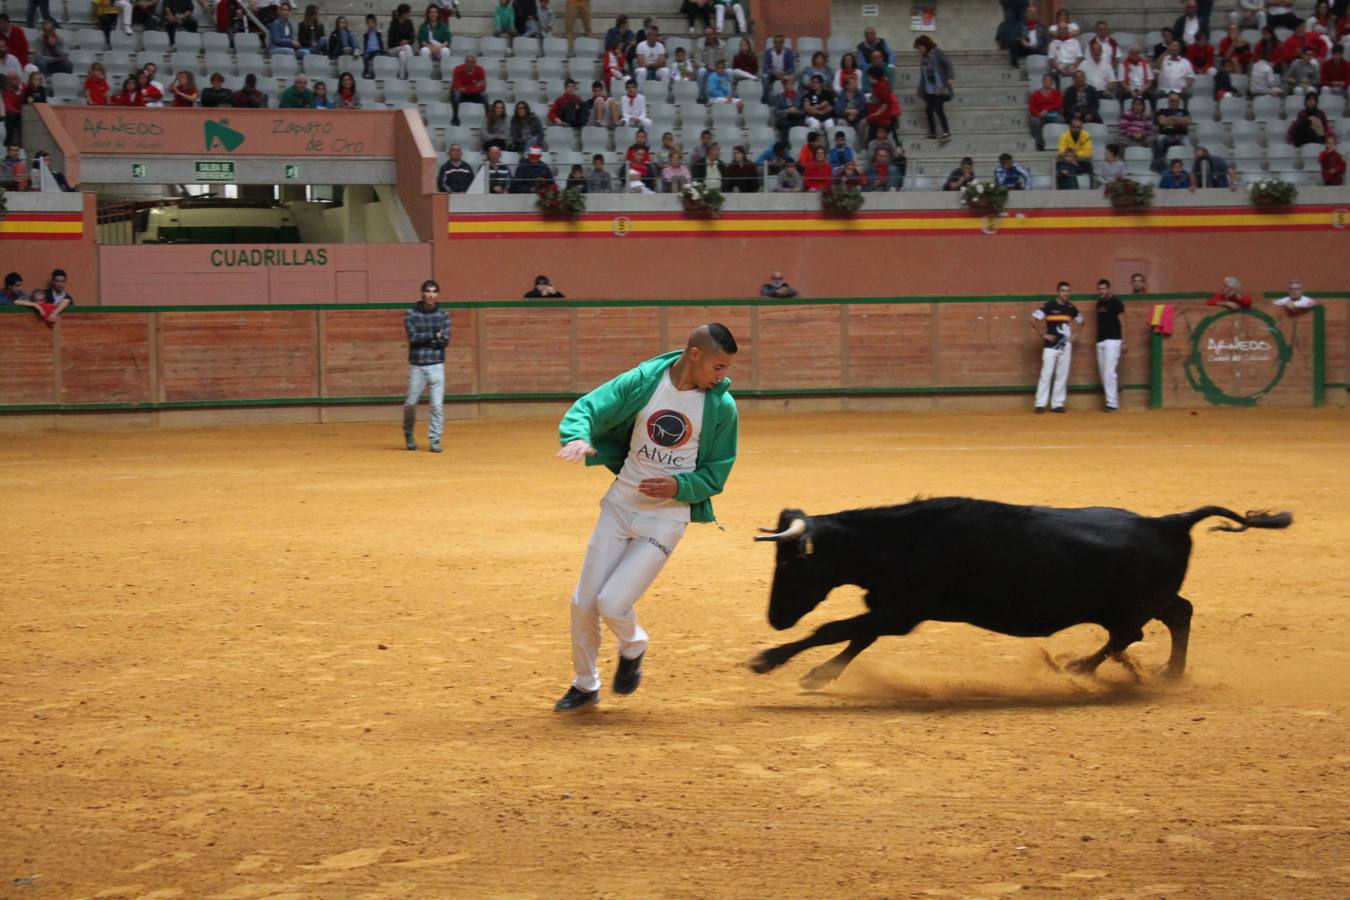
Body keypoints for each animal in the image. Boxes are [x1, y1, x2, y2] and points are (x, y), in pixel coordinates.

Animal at [756, 499, 1290, 690]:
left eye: (789, 562)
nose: (775, 619)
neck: (898, 540)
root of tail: (1170, 521)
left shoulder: (902, 611)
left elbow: (832, 629)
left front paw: (768, 659)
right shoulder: (890, 609)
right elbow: (854, 637)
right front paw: (818, 674)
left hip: (1131, 605)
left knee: (1134, 633)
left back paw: (1081, 668)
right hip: (1145, 602)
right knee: (1173, 617)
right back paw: (1160, 672)